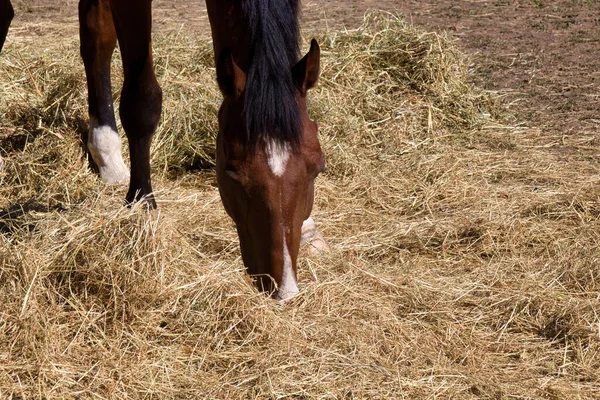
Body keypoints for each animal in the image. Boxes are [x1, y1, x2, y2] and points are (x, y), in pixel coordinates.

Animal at [0, 0, 328, 300]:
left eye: (317, 168)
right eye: (232, 174)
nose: (284, 289)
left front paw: (308, 229)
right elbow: (141, 101)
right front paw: (142, 208)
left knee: (95, 36)